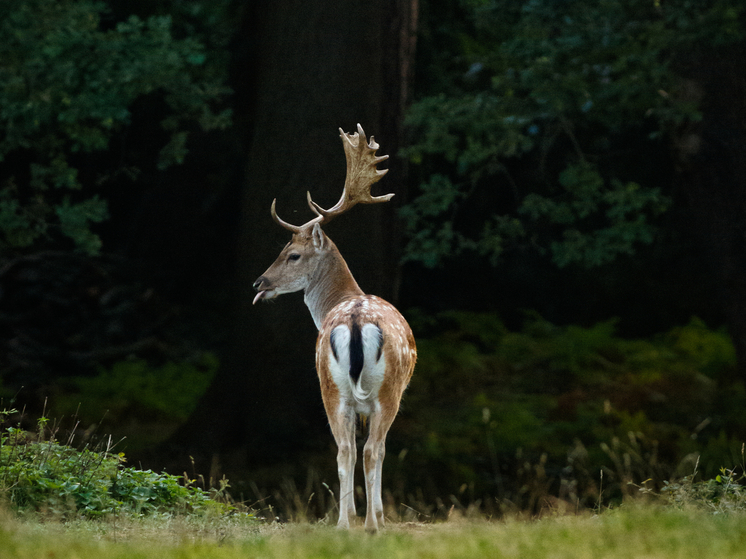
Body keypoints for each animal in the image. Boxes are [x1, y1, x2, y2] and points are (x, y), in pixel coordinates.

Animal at [250, 124, 412, 536]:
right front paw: (376, 515)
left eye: (292, 254)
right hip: (378, 390)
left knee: (347, 449)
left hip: (335, 387)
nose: (259, 283)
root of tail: (354, 320)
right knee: (369, 449)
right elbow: (377, 451)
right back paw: (369, 524)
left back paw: (345, 523)